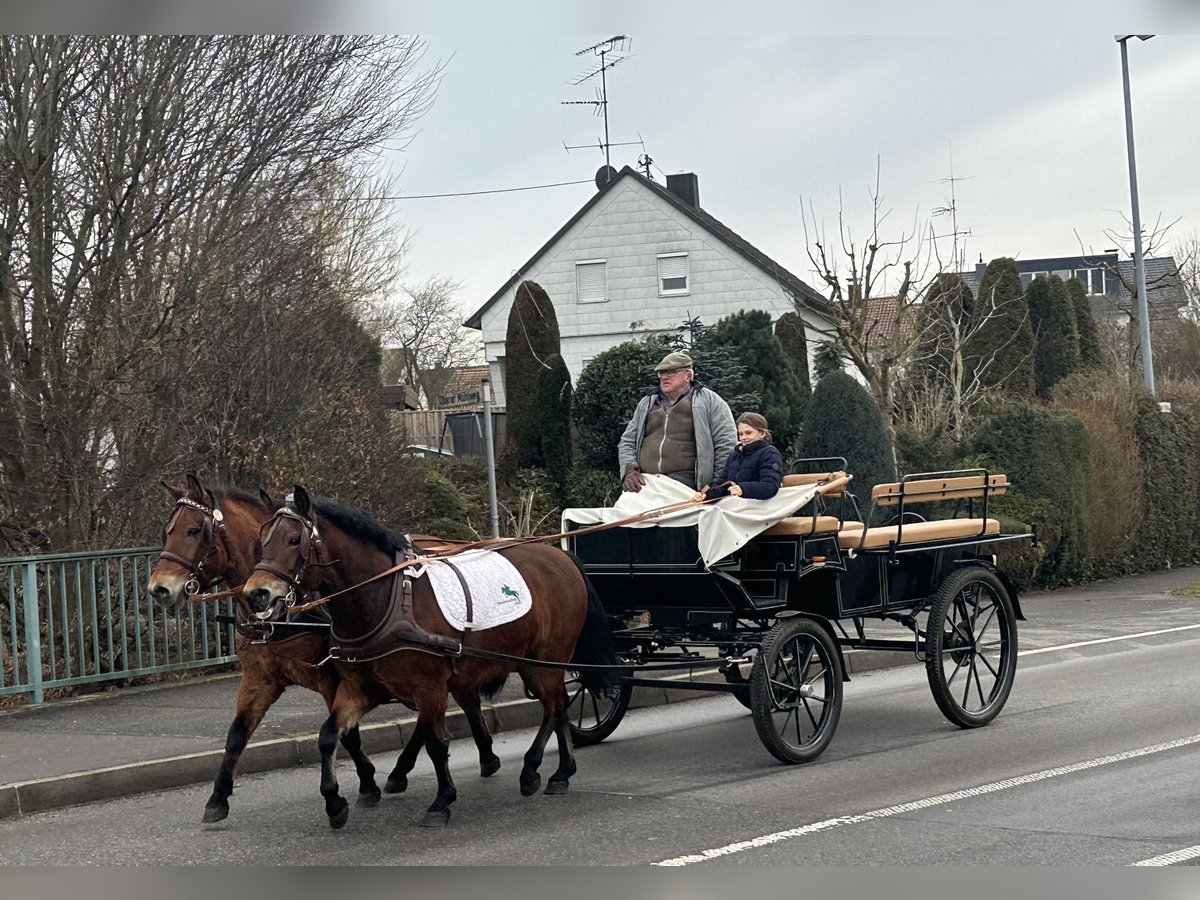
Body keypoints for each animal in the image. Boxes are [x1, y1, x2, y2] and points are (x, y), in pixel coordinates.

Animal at [148, 480, 501, 825]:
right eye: (167, 532)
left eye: (194, 530)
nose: (159, 589)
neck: (281, 613)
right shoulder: (260, 678)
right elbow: (237, 735)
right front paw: (218, 798)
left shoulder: (334, 678)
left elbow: (347, 735)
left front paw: (362, 786)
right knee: (451, 703)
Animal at [242, 487, 619, 830]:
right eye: (261, 541)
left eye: (294, 540)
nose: (256, 593)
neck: (389, 599)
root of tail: (559, 555)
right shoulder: (360, 688)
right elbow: (329, 734)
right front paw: (335, 801)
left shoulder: (430, 688)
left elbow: (437, 744)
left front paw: (442, 800)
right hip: (530, 663)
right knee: (558, 705)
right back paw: (560, 771)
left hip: (547, 659)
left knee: (555, 705)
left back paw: (537, 769)